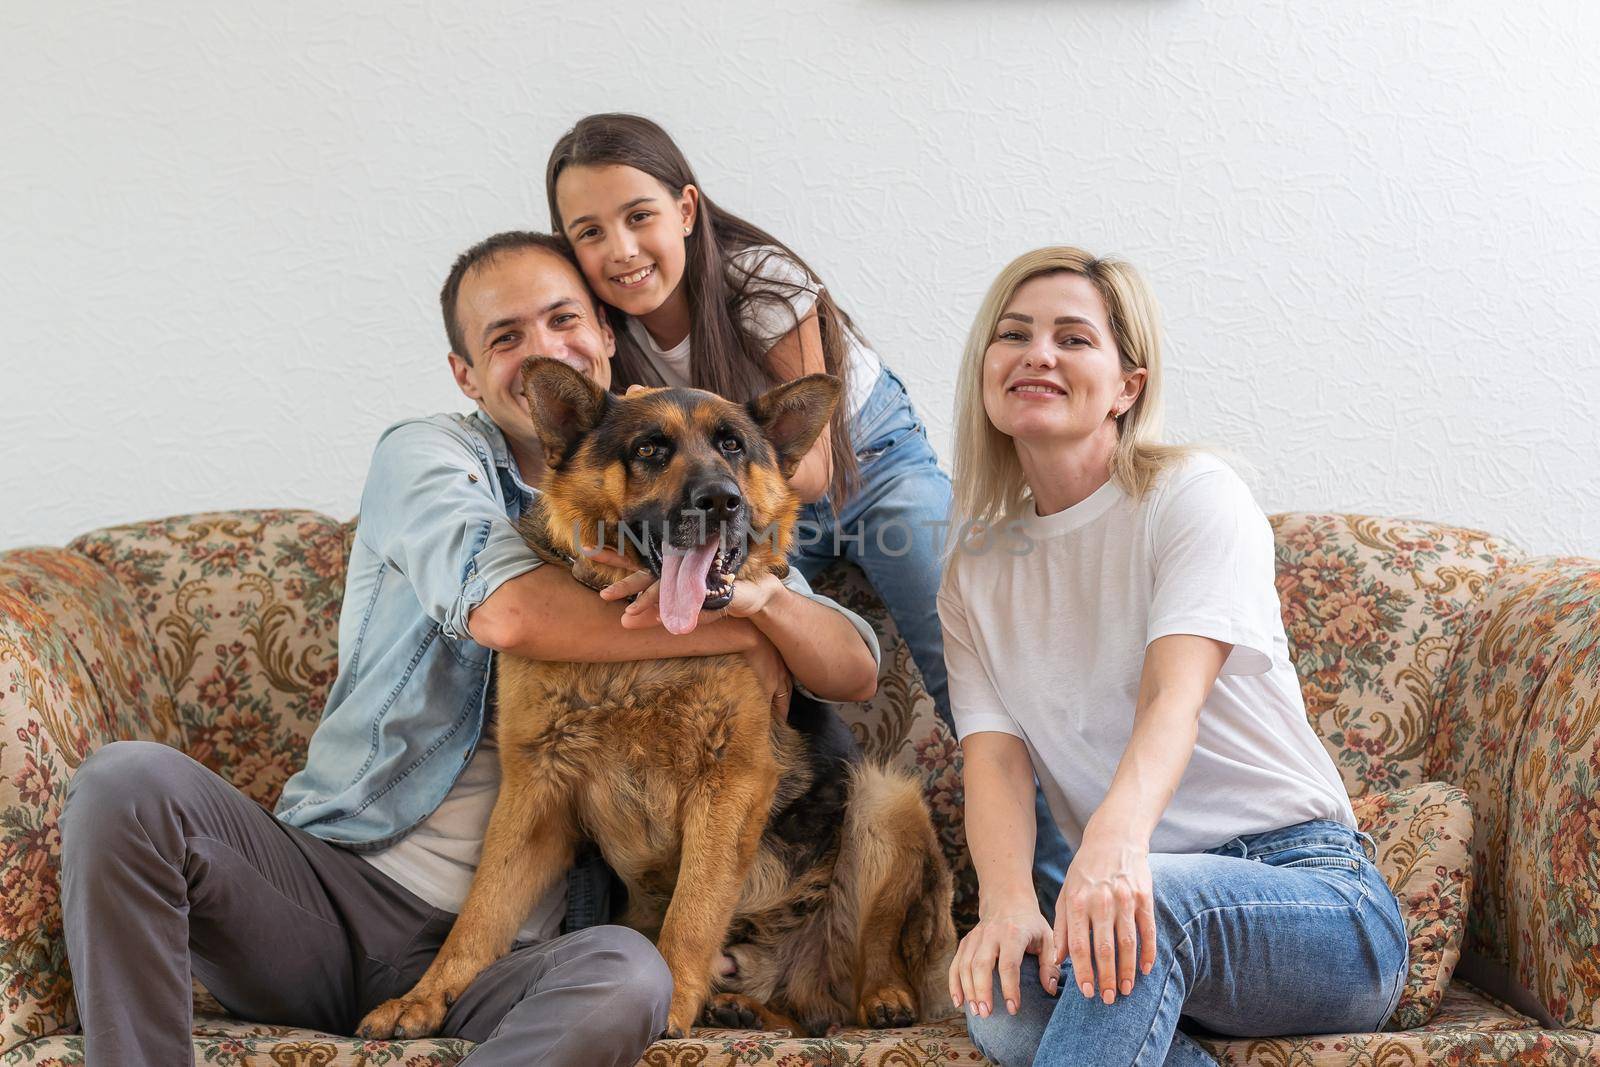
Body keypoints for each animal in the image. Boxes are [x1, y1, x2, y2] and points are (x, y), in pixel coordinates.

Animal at [358, 361, 953, 1043]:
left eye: (732, 446)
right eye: (649, 450)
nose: (722, 501)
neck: (641, 658)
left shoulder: (730, 785)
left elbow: (693, 910)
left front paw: (669, 1002)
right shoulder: (535, 792)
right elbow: (480, 912)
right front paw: (426, 997)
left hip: (884, 799)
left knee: (863, 967)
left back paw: (884, 995)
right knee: (806, 1014)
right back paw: (742, 1007)